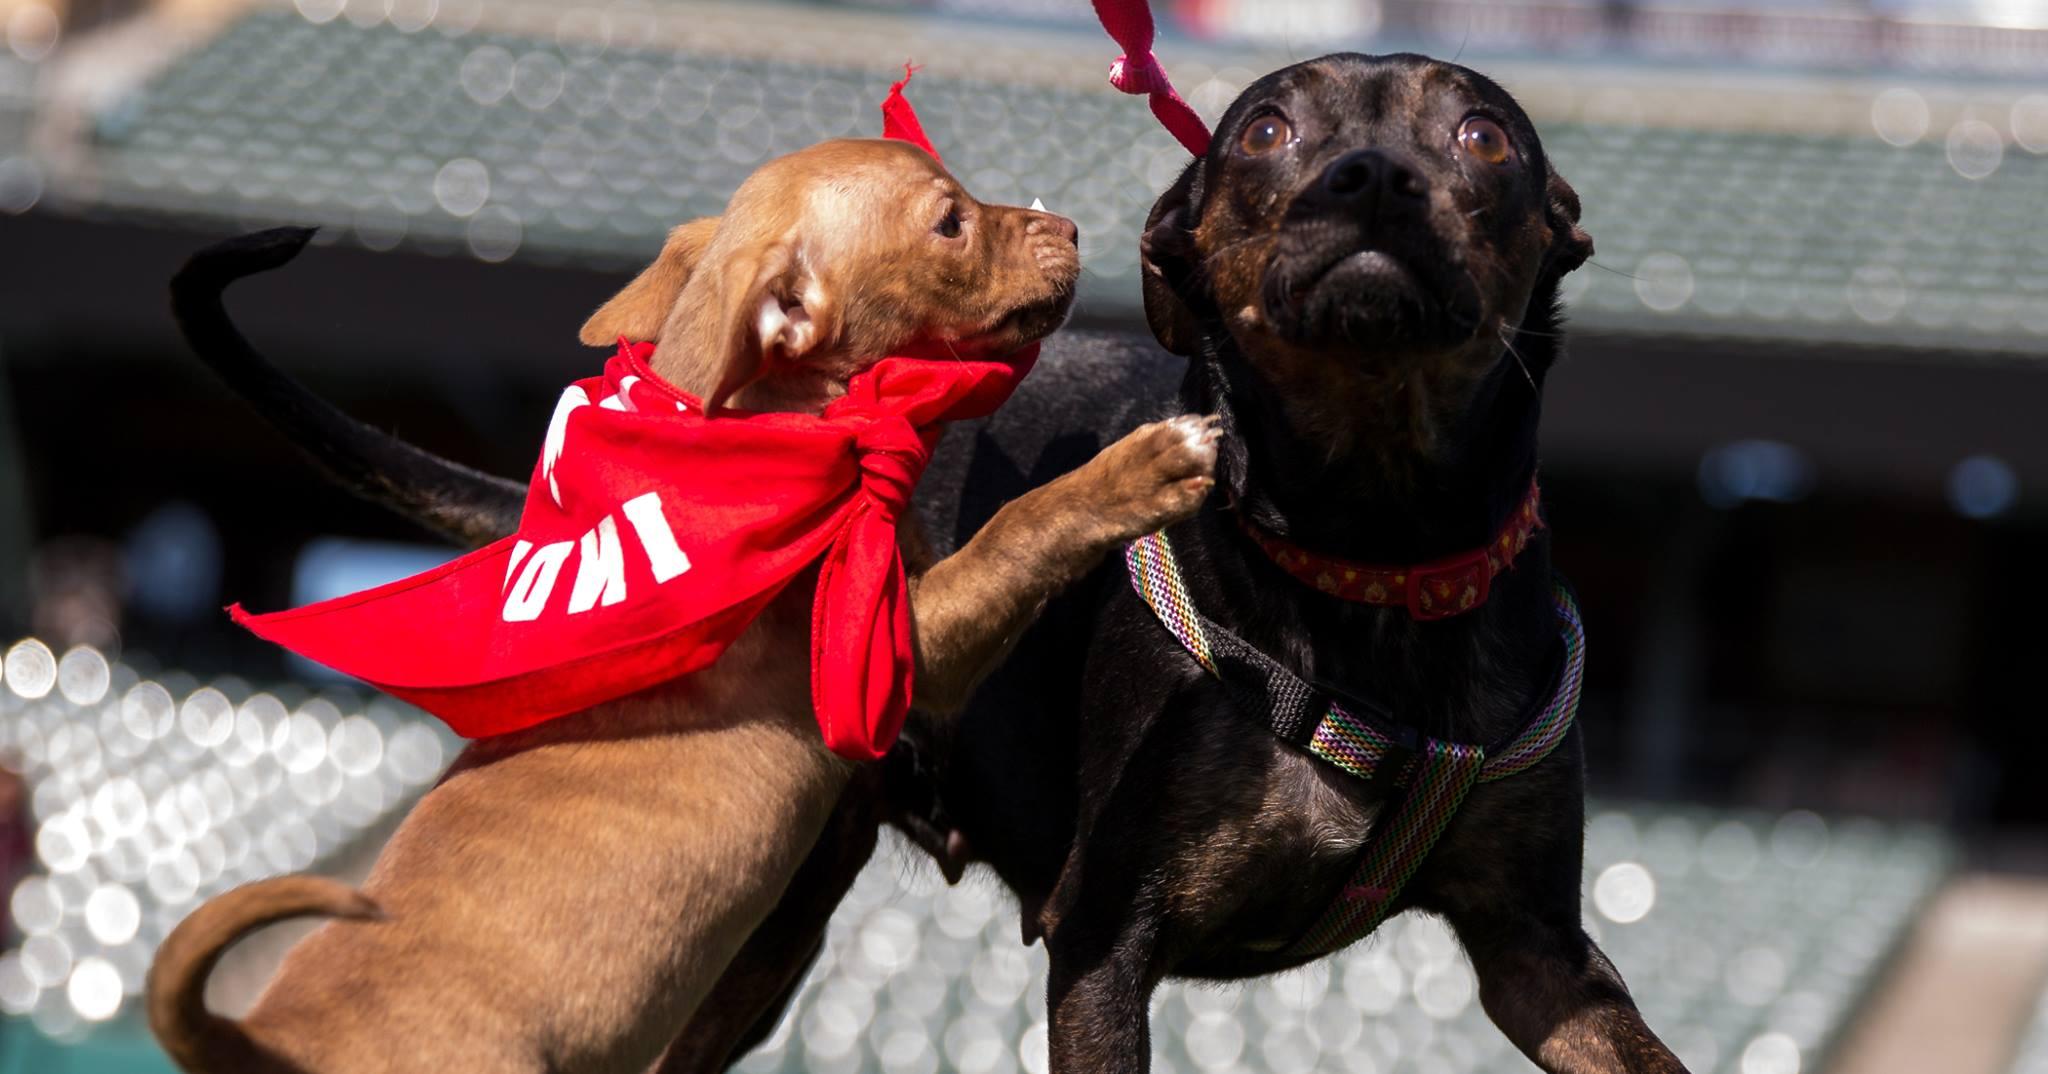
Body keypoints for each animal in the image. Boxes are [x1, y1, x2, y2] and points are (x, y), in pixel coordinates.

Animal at [159, 138, 1220, 1074]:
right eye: (950, 222)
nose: (1074, 228)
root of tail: (264, 1043)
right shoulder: (894, 650)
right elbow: (1019, 527)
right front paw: (1141, 468)